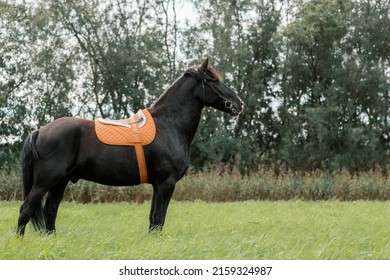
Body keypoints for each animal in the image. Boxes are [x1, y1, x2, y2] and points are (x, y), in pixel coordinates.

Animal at [17, 59, 244, 236]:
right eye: (213, 80)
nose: (239, 104)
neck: (169, 124)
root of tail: (39, 131)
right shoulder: (166, 182)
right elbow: (159, 217)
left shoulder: (157, 184)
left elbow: (153, 220)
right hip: (46, 181)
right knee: (26, 209)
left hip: (60, 182)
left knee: (50, 212)